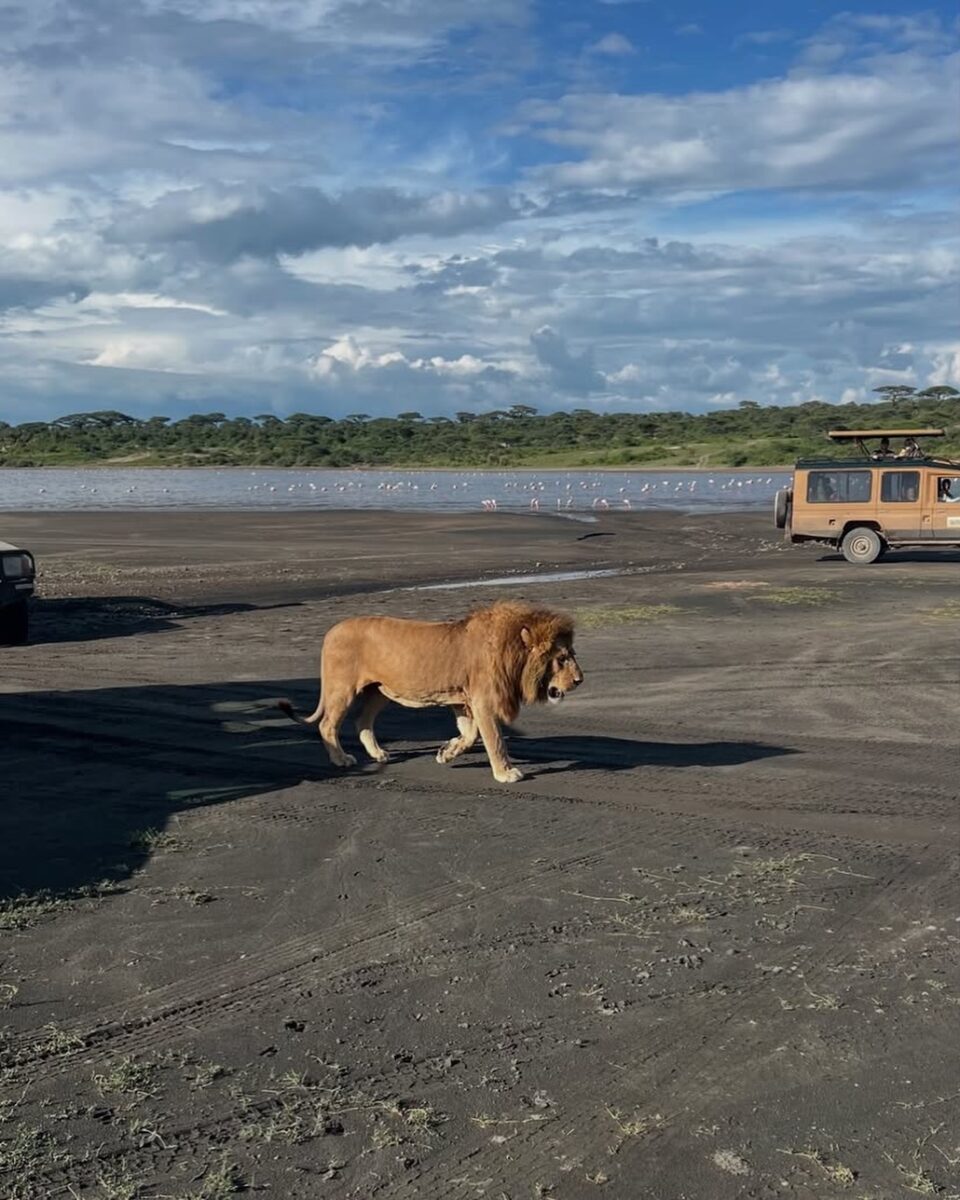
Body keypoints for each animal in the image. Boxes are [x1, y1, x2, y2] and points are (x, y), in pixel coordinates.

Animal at [278, 600, 582, 783]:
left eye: (572, 654)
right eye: (561, 659)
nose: (579, 680)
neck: (512, 653)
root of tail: (331, 631)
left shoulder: (463, 700)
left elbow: (470, 735)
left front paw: (446, 752)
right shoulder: (483, 701)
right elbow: (495, 740)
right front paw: (505, 773)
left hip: (379, 691)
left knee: (362, 721)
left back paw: (378, 754)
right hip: (342, 689)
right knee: (327, 724)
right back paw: (341, 759)